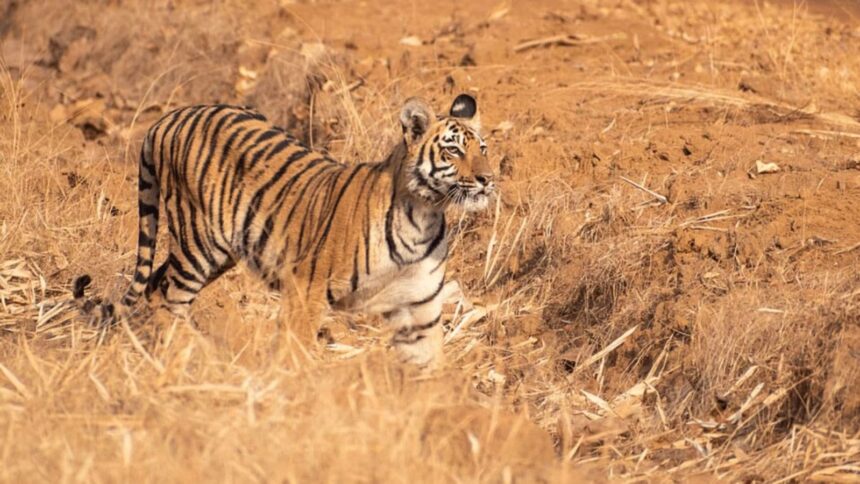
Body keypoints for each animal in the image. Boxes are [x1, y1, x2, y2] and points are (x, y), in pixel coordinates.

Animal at [74, 93, 495, 366]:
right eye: (453, 150)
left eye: (483, 148)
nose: (488, 179)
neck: (425, 214)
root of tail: (169, 117)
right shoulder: (306, 290)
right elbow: (295, 350)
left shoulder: (421, 305)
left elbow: (428, 364)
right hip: (200, 242)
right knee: (169, 297)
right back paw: (190, 355)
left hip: (216, 252)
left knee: (156, 286)